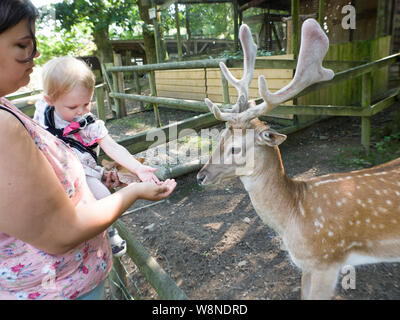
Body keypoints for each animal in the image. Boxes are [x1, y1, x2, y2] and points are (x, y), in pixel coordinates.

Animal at [196, 19, 400, 300]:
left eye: (236, 148)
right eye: (221, 138)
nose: (200, 176)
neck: (293, 217)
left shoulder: (327, 262)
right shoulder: (306, 266)